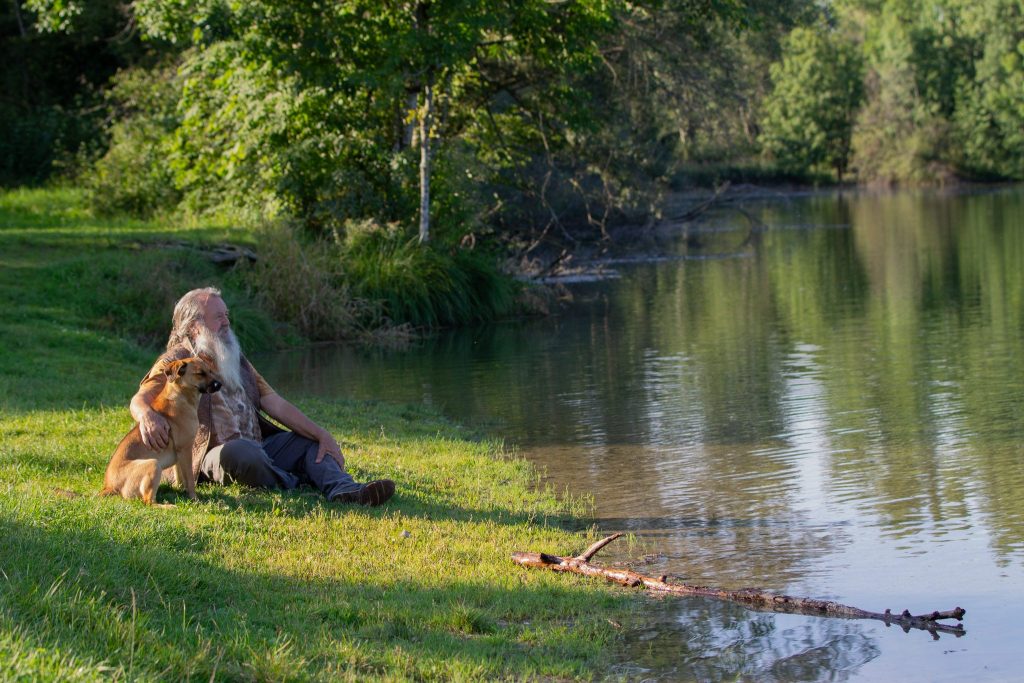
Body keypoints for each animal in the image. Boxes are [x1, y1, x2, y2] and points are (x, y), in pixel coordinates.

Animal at [99, 358, 222, 507]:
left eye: (210, 371)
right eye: (200, 373)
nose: (219, 384)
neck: (180, 397)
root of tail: (109, 486)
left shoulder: (179, 454)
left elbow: (180, 477)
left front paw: (181, 491)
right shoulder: (185, 450)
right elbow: (190, 479)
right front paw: (194, 498)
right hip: (153, 464)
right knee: (149, 502)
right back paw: (169, 506)